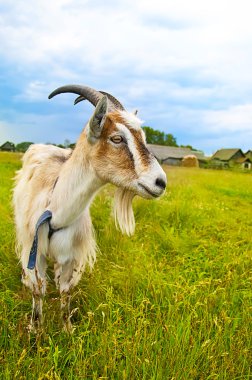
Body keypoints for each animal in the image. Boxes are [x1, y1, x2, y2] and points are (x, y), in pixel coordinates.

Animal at [13, 84, 167, 332]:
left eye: (142, 137)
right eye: (117, 138)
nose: (160, 182)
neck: (56, 209)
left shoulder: (70, 256)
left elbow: (65, 292)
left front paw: (67, 330)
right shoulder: (35, 251)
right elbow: (38, 291)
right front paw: (36, 331)